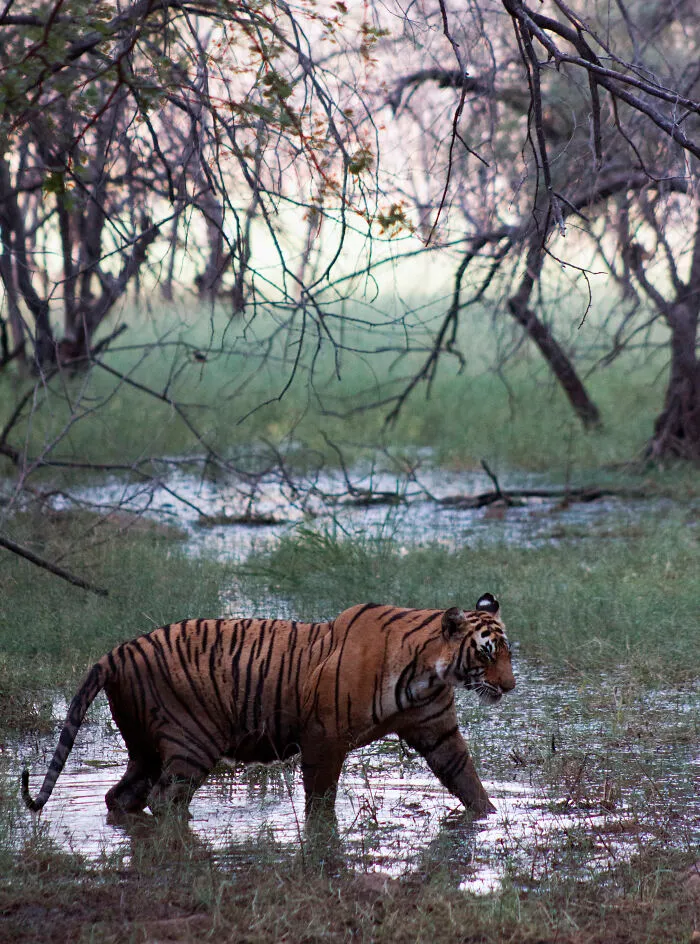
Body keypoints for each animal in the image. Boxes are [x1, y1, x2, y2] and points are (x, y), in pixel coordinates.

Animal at [21, 593, 515, 820]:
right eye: (487, 654)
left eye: (509, 653)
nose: (510, 687)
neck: (430, 672)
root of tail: (117, 652)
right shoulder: (324, 737)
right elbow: (320, 799)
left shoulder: (439, 731)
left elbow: (468, 780)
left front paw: (488, 818)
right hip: (191, 740)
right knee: (165, 799)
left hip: (145, 748)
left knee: (122, 796)